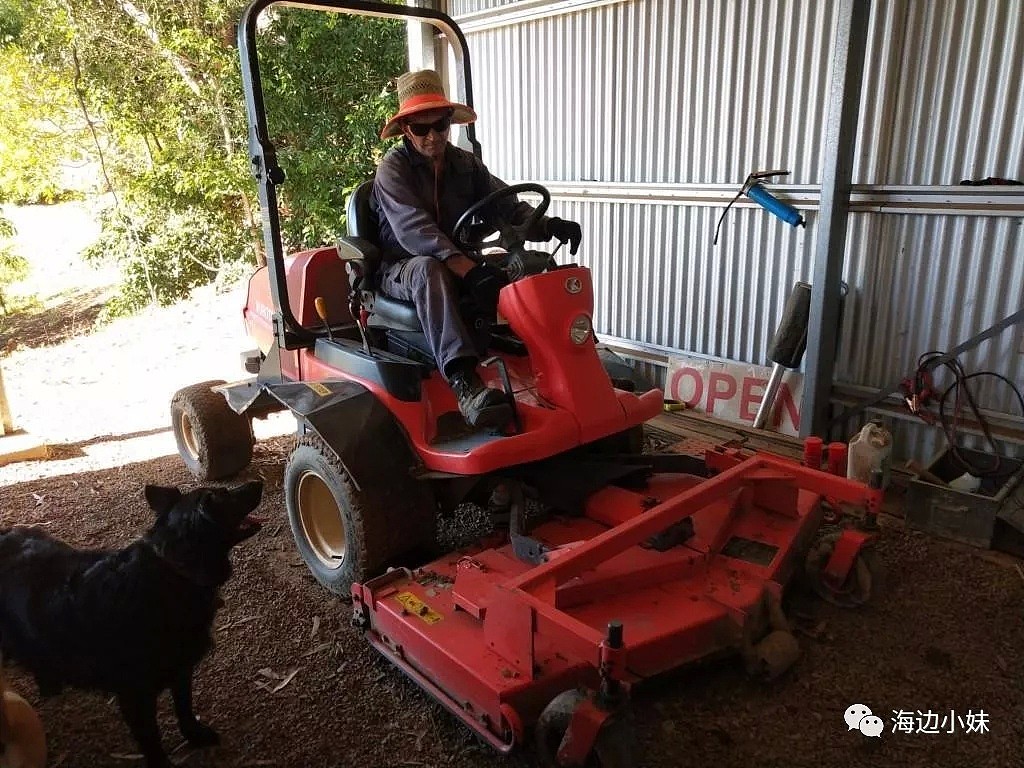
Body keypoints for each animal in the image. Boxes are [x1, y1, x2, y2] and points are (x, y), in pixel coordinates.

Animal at [0, 479, 264, 765]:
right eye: (225, 494)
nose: (258, 482)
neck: (173, 571)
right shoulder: (134, 696)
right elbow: (152, 740)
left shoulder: (181, 670)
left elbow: (184, 707)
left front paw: (194, 735)